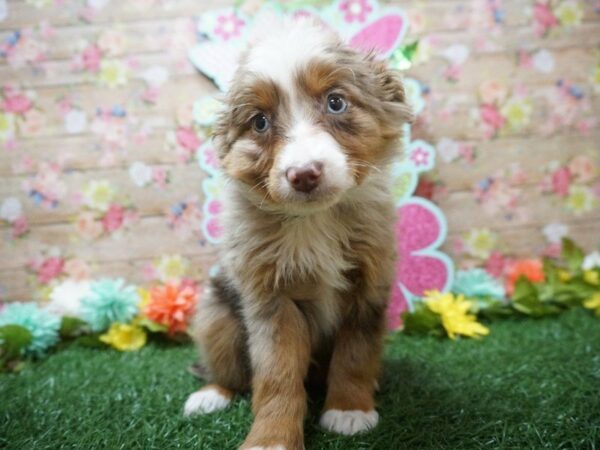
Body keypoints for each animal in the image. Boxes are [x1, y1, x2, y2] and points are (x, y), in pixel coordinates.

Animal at [185, 16, 414, 450]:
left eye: (336, 102)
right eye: (260, 122)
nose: (304, 173)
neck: (315, 219)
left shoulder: (369, 284)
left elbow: (356, 353)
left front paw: (349, 409)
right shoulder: (271, 297)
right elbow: (277, 374)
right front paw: (271, 438)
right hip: (216, 315)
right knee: (228, 370)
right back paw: (211, 395)